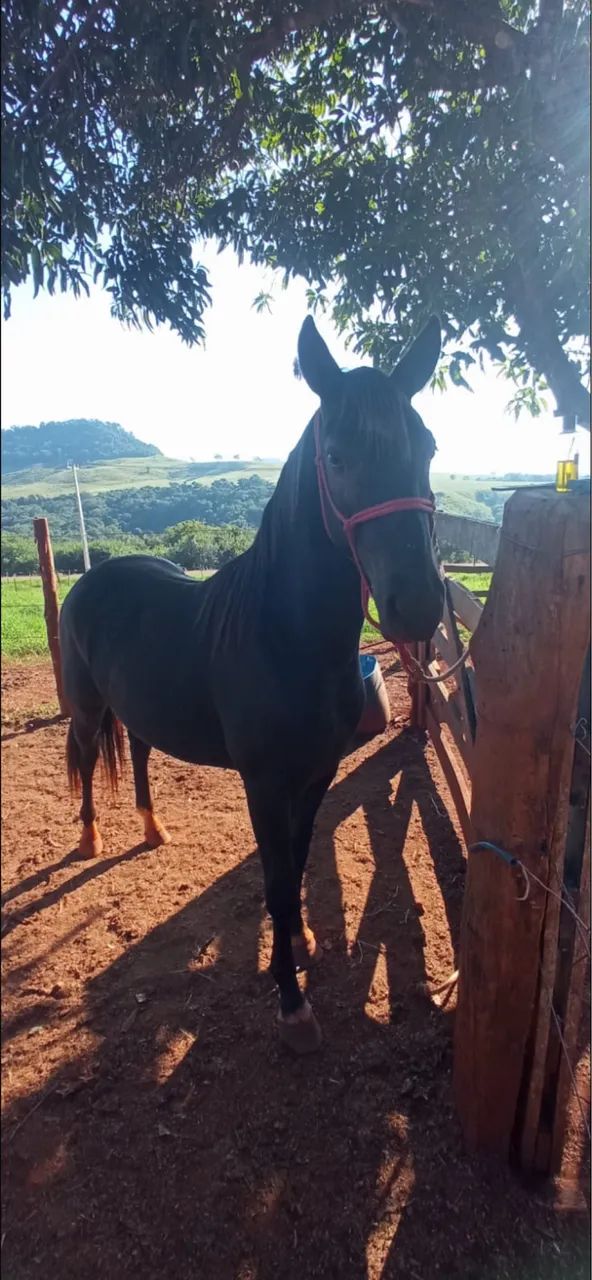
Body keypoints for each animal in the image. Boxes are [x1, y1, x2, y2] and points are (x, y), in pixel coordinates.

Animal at [59, 315, 445, 1053]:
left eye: (430, 447)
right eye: (336, 456)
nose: (418, 603)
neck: (284, 636)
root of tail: (95, 575)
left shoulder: (317, 772)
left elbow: (294, 868)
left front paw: (302, 944)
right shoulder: (264, 784)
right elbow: (272, 878)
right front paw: (291, 1000)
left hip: (140, 709)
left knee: (140, 754)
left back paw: (153, 829)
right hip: (89, 707)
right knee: (88, 758)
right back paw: (91, 839)